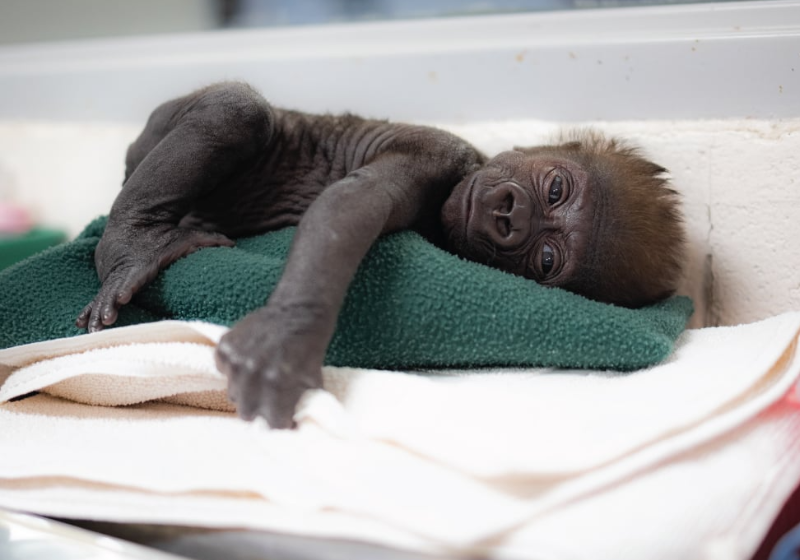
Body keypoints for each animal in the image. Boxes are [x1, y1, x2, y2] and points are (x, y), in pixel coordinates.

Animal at [75, 81, 684, 426]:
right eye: (555, 188)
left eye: (548, 260)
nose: (511, 216)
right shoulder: (440, 152)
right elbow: (347, 204)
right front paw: (288, 336)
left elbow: (346, 208)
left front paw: (287, 335)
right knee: (237, 108)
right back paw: (132, 243)